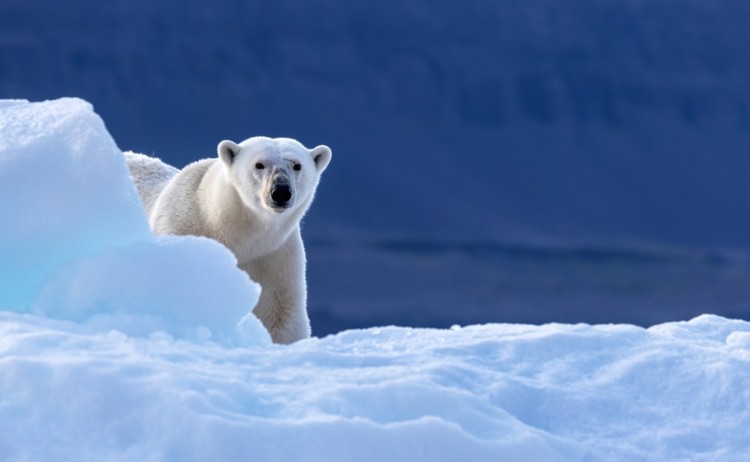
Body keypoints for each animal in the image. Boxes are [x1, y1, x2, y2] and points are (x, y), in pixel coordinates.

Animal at [124, 136, 332, 344]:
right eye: (259, 164)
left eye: (297, 165)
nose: (281, 191)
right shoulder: (182, 232)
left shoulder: (275, 257)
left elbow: (280, 315)